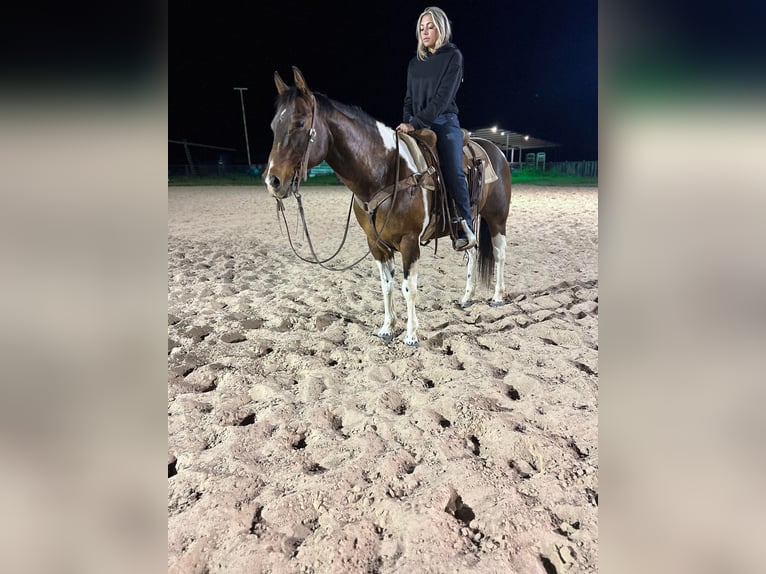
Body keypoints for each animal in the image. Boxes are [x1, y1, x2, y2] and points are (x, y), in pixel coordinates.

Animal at [268, 67, 512, 346]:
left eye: (299, 123)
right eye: (274, 125)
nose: (273, 181)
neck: (384, 171)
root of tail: (496, 150)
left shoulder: (409, 242)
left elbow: (409, 288)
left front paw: (411, 334)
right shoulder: (376, 243)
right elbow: (386, 286)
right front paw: (387, 327)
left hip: (497, 218)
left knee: (499, 253)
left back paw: (497, 297)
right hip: (467, 224)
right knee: (471, 252)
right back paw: (467, 298)